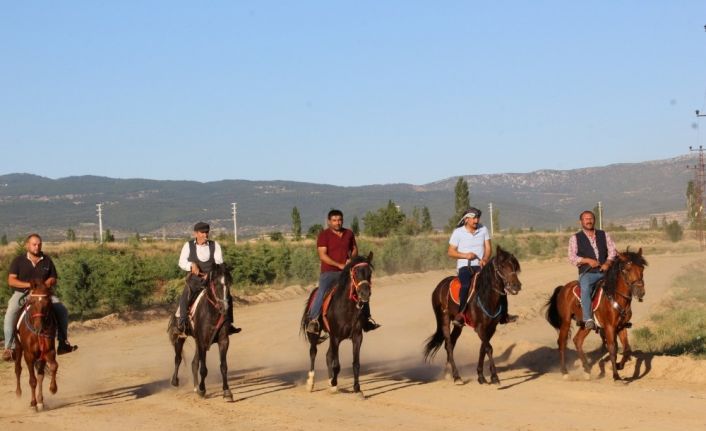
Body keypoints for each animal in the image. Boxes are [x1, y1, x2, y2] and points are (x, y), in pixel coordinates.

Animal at [13, 280, 59, 412]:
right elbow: (32, 380)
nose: (39, 327)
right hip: (18, 348)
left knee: (40, 375)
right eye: (32, 302)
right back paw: (18, 393)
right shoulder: (29, 355)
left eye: (47, 302)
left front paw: (52, 389)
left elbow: (53, 367)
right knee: (18, 369)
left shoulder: (49, 351)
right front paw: (33, 403)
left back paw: (41, 401)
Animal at [168, 264, 234, 404]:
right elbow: (203, 369)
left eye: (229, 283)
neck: (211, 312)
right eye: (215, 283)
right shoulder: (203, 342)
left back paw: (195, 387)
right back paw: (175, 381)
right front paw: (203, 390)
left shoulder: (223, 341)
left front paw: (227, 392)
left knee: (194, 363)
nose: (225, 308)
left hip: (197, 342)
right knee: (178, 358)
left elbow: (223, 366)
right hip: (181, 338)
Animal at [298, 253, 374, 398]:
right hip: (315, 334)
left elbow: (356, 363)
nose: (364, 293)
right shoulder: (336, 337)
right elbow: (336, 364)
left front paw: (357, 389)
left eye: (370, 272)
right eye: (355, 272)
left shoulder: (357, 337)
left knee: (328, 355)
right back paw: (311, 383)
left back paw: (329, 381)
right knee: (313, 352)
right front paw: (334, 384)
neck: (347, 308)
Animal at [420, 248, 520, 386]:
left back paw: (448, 373)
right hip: (444, 320)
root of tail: (439, 287)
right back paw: (457, 377)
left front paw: (481, 376)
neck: (486, 296)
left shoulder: (491, 328)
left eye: (515, 265)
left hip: (459, 326)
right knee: (449, 345)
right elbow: (489, 348)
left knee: (451, 343)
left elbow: (483, 349)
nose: (516, 286)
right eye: (502, 266)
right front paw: (494, 377)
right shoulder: (479, 328)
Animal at [548, 250, 648, 382]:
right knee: (562, 343)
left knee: (577, 340)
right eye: (627, 269)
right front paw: (616, 376)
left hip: (586, 325)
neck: (615, 297)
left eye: (642, 268)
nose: (640, 292)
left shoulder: (621, 326)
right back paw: (565, 372)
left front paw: (619, 366)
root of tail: (564, 288)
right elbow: (612, 348)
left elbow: (627, 349)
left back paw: (587, 370)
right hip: (565, 321)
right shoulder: (609, 327)